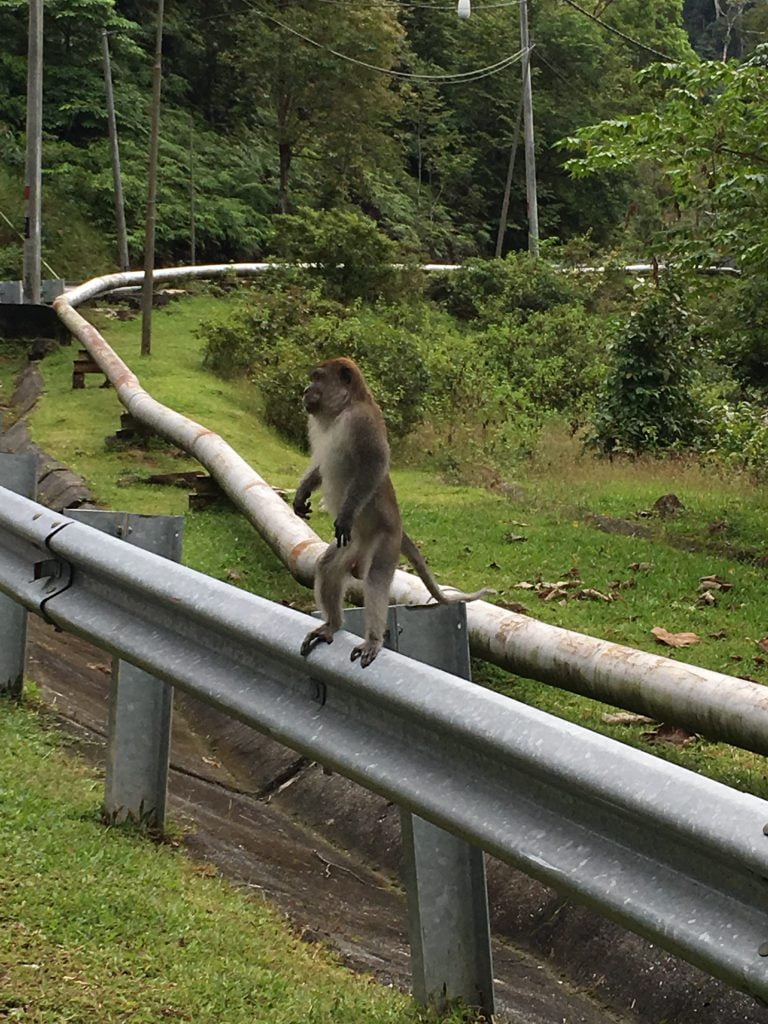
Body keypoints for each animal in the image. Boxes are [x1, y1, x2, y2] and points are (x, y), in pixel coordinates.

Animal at [294, 356, 493, 667]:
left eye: (317, 378)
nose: (305, 390)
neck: (344, 409)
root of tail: (399, 528)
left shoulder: (361, 422)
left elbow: (374, 464)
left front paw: (345, 514)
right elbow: (319, 466)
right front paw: (301, 494)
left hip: (385, 540)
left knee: (376, 578)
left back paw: (373, 639)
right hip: (353, 543)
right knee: (327, 566)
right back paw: (332, 625)